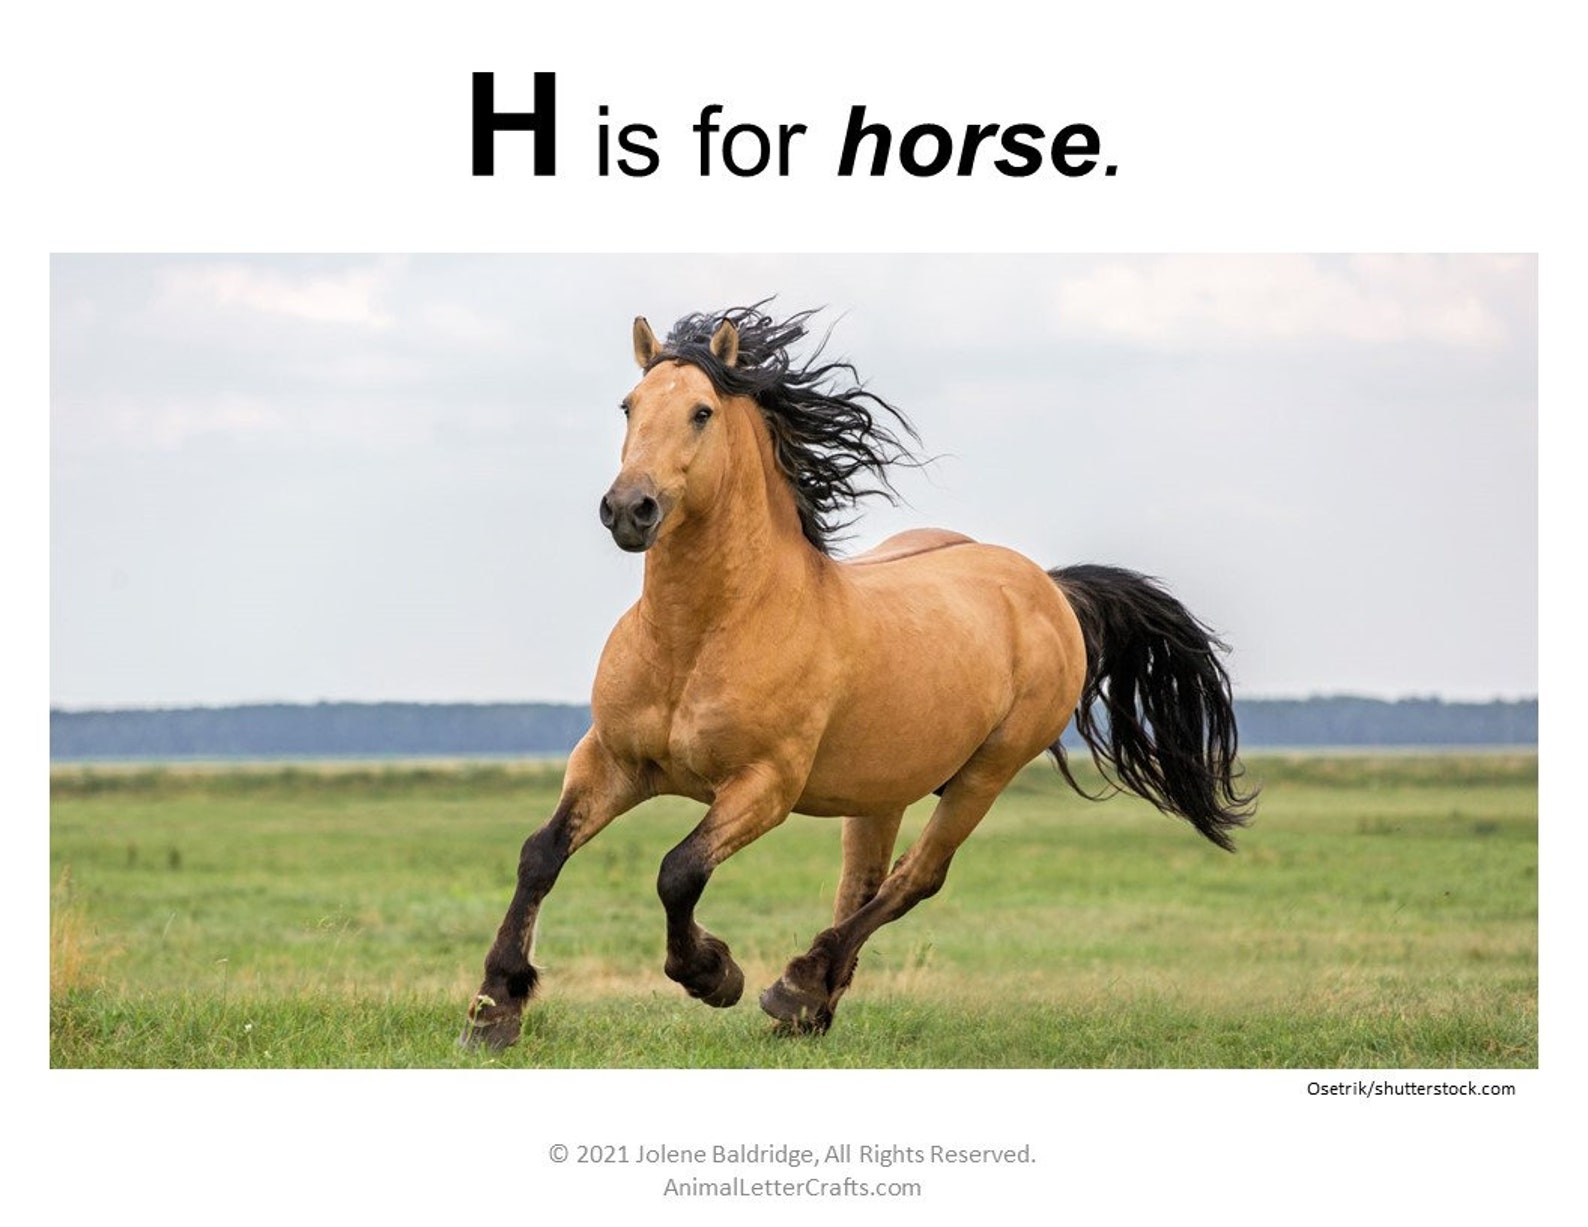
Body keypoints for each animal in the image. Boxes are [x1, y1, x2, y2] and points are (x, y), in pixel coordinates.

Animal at [462, 305, 1254, 1046]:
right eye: (628, 406)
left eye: (701, 411)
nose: (630, 509)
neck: (701, 635)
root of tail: (1048, 587)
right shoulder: (612, 760)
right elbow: (540, 855)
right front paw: (495, 1008)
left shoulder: (764, 785)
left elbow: (677, 870)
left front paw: (714, 974)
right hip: (882, 789)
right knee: (862, 884)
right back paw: (810, 1008)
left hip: (986, 773)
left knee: (914, 879)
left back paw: (795, 988)